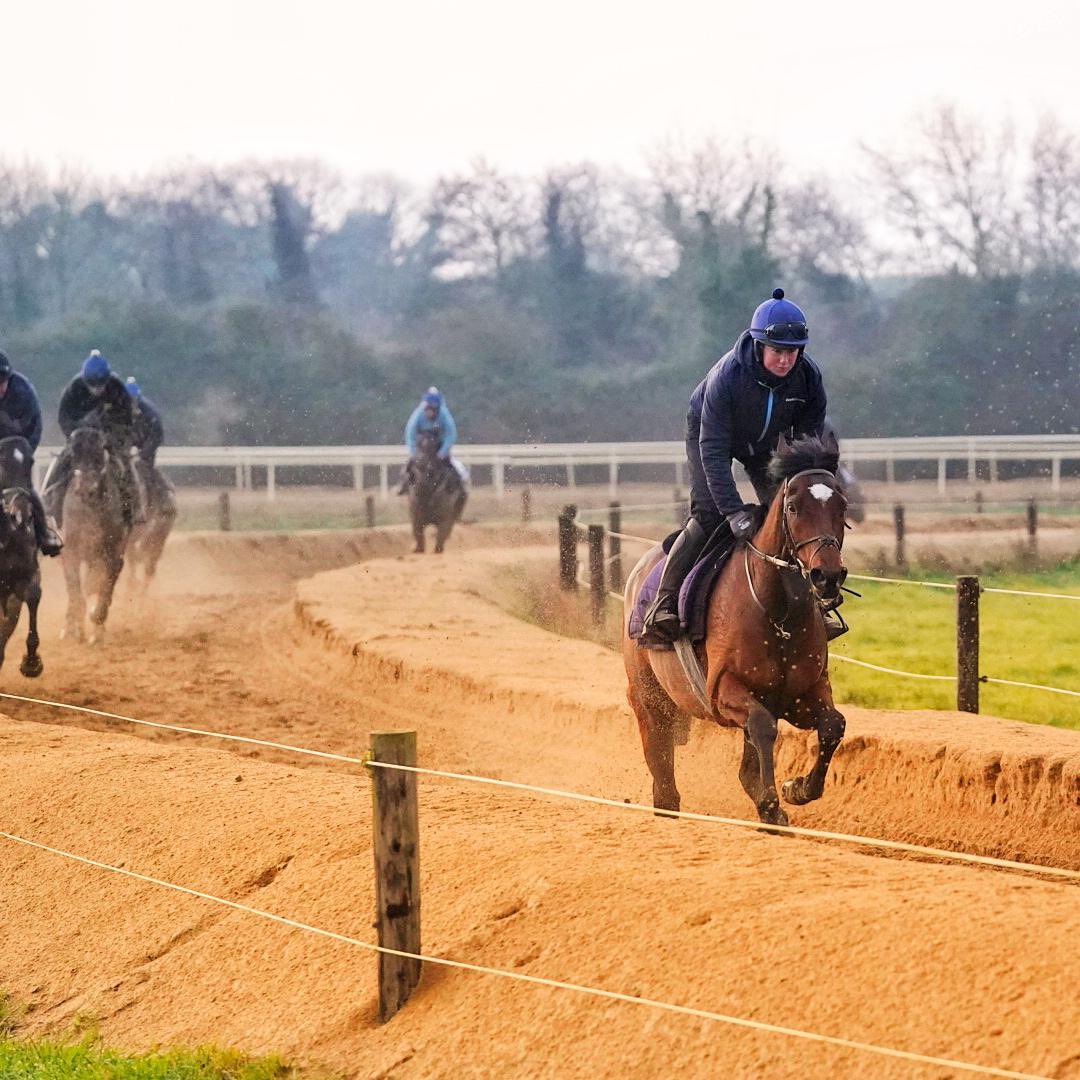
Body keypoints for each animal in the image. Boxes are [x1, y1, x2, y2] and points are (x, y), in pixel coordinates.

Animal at [57, 421, 131, 639]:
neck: (91, 509)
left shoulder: (113, 550)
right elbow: (75, 588)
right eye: (73, 453)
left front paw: (97, 623)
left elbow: (106, 584)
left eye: (101, 450)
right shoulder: (70, 550)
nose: (86, 489)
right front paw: (74, 629)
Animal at [626, 434, 851, 820]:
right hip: (648, 698)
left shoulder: (802, 692)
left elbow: (833, 725)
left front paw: (798, 788)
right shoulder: (724, 689)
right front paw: (771, 804)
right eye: (793, 507)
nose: (828, 575)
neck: (778, 613)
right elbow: (762, 727)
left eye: (842, 506)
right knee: (661, 768)